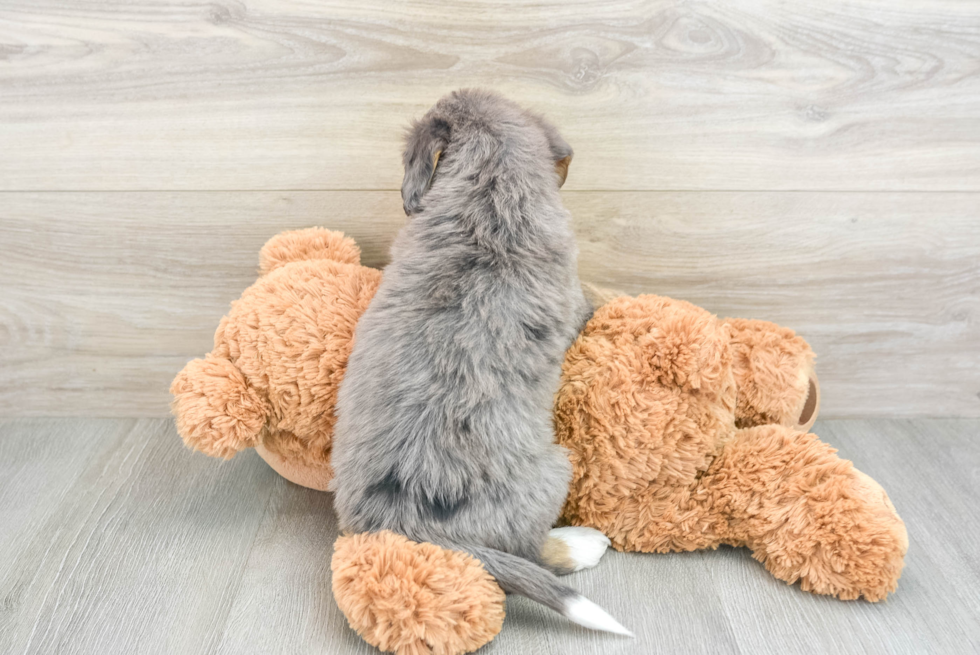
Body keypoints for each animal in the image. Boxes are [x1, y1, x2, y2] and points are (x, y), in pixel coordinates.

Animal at [334, 89, 632, 640]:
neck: (491, 188)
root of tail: (402, 524)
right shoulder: (575, 298)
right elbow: (597, 295)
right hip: (555, 470)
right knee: (532, 555)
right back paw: (582, 543)